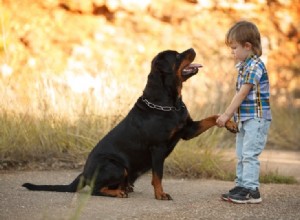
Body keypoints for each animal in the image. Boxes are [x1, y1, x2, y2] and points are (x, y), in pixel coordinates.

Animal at [22, 48, 238, 199]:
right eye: (177, 56)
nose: (192, 48)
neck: (170, 103)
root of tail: (84, 173)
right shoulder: (157, 148)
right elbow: (158, 175)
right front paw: (160, 195)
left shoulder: (187, 130)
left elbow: (213, 117)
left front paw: (230, 124)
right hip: (116, 166)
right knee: (95, 189)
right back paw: (118, 192)